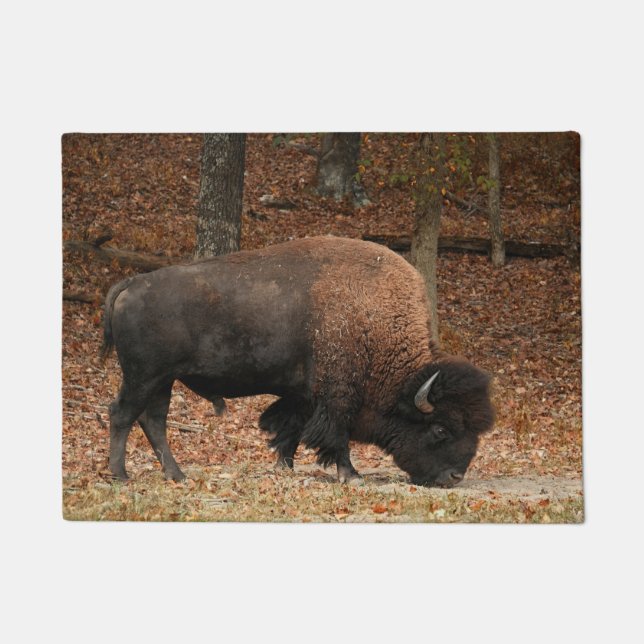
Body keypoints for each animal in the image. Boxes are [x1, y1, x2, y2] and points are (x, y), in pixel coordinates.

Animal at [101, 236, 494, 487]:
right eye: (440, 429)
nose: (454, 477)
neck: (372, 321)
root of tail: (131, 283)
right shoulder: (336, 395)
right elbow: (335, 435)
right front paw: (351, 476)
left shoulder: (303, 394)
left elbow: (289, 427)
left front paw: (284, 466)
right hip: (144, 377)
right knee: (122, 414)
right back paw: (121, 477)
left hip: (162, 381)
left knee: (153, 421)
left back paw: (177, 475)